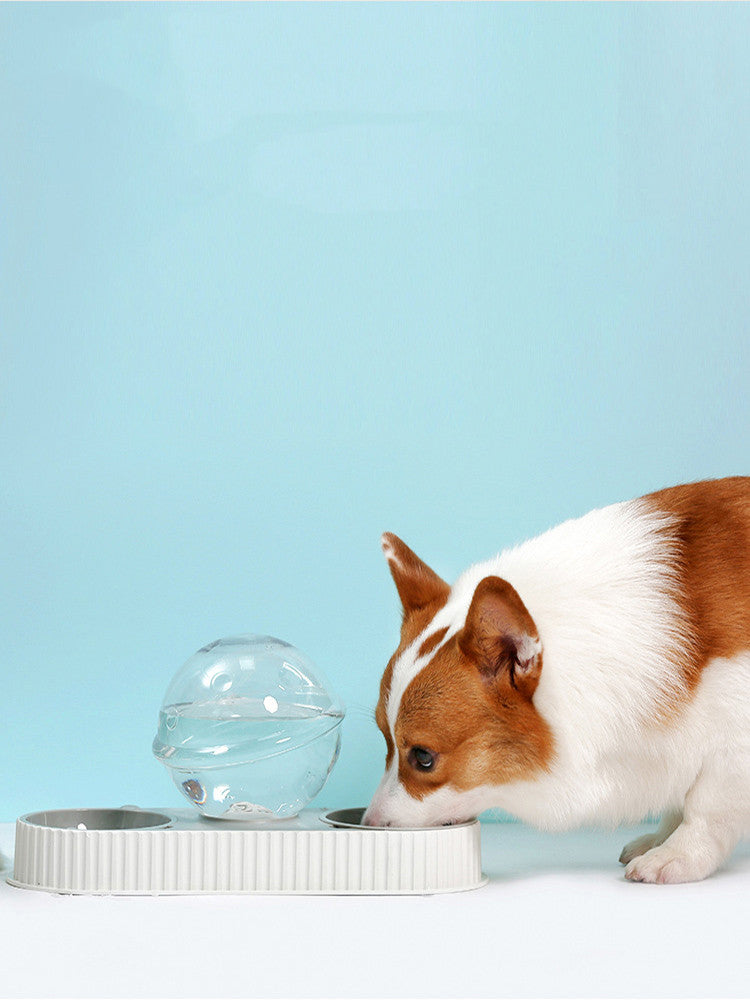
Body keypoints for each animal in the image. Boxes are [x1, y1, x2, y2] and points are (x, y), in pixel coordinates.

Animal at [364, 476, 750, 884]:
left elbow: (705, 807)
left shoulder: (733, 744)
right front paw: (660, 839)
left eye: (423, 758)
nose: (366, 825)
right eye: (386, 740)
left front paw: (676, 855)